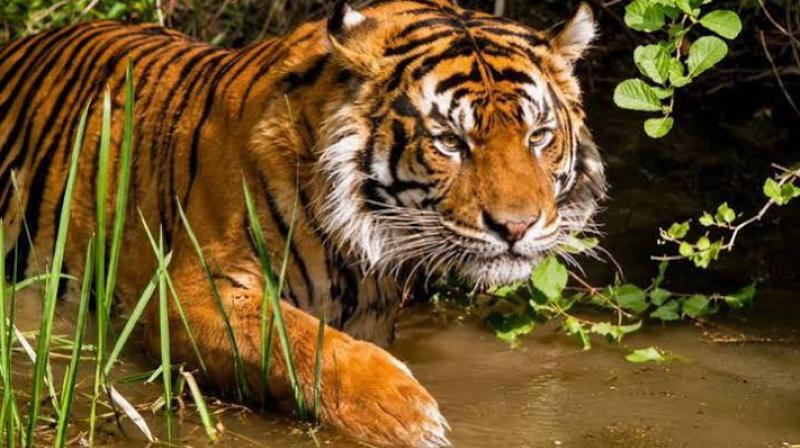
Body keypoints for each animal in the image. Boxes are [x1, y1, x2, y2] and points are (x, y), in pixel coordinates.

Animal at [0, 0, 605, 446]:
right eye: (451, 142)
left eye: (538, 137)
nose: (516, 227)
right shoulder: (190, 291)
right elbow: (305, 341)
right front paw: (411, 417)